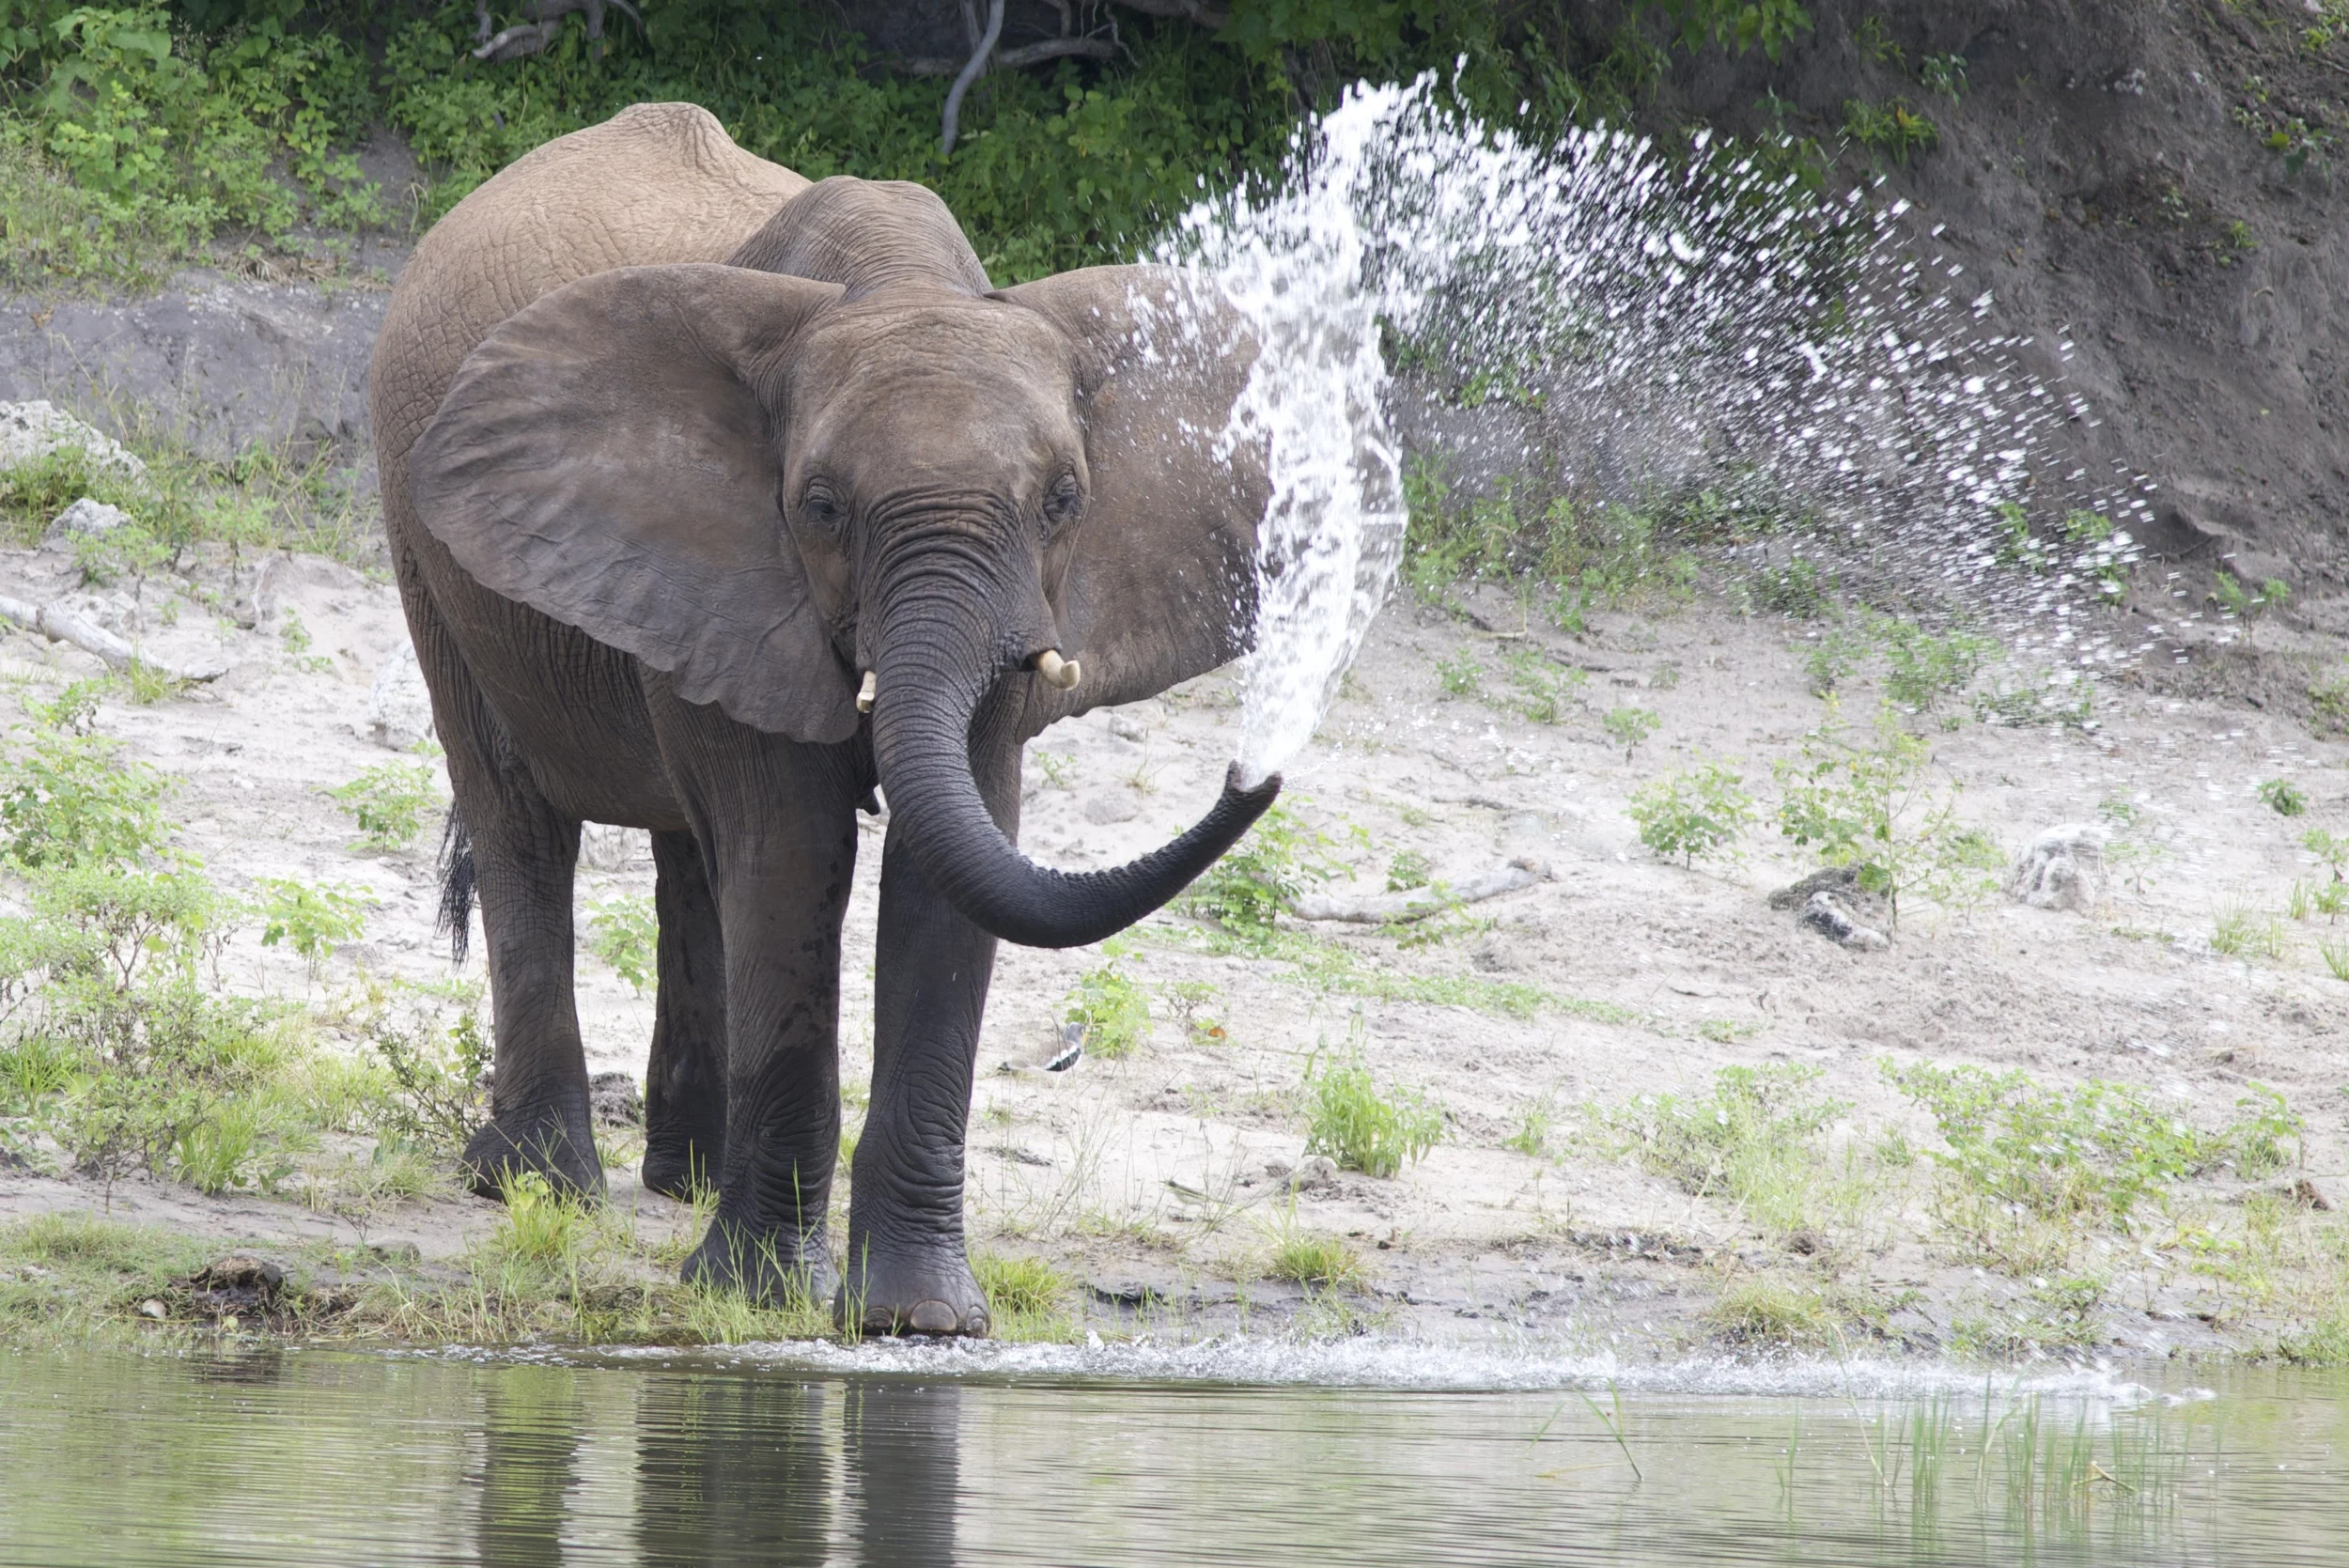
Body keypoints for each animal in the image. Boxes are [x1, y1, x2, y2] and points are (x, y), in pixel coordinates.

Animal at [369, 102, 1280, 1335]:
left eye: (1064, 501)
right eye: (821, 507)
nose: (1252, 772)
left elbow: (950, 872)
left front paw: (917, 1322)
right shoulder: (731, 555)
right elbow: (794, 854)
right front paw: (758, 1297)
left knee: (687, 856)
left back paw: (684, 1177)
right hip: (421, 531)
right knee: (520, 818)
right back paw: (536, 1183)